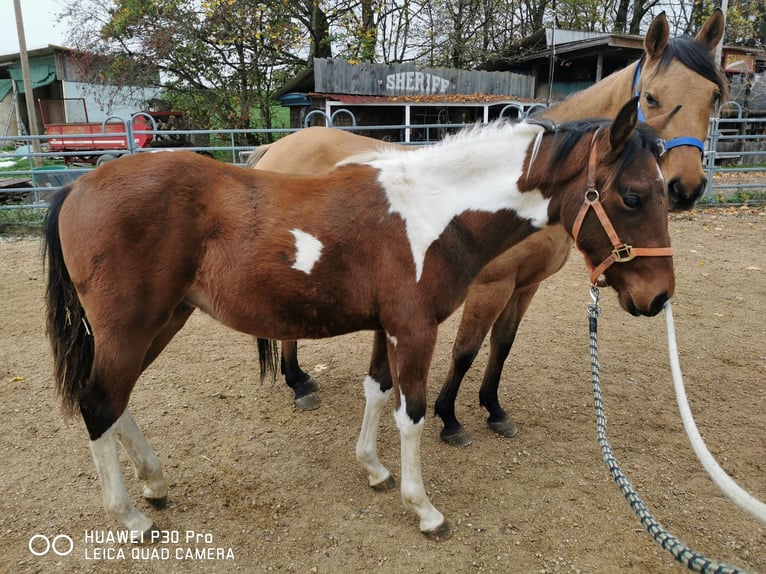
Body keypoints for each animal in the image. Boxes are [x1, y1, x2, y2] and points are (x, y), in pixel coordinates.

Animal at [44, 98, 673, 539]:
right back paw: (131, 518)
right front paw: (424, 509)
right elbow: (411, 413)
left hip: (162, 321)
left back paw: (153, 482)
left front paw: (374, 469)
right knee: (98, 402)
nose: (659, 296)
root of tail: (76, 186)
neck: (434, 212)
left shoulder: (386, 326)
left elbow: (377, 391)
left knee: (113, 398)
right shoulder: (415, 329)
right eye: (634, 196)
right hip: (133, 326)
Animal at [248, 10, 727, 445]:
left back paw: (299, 378)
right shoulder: (490, 286)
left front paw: (493, 409)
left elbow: (502, 345)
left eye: (714, 98)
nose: (685, 188)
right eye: (652, 98)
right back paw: (297, 383)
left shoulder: (525, 285)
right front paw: (449, 418)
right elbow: (465, 350)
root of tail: (278, 146)